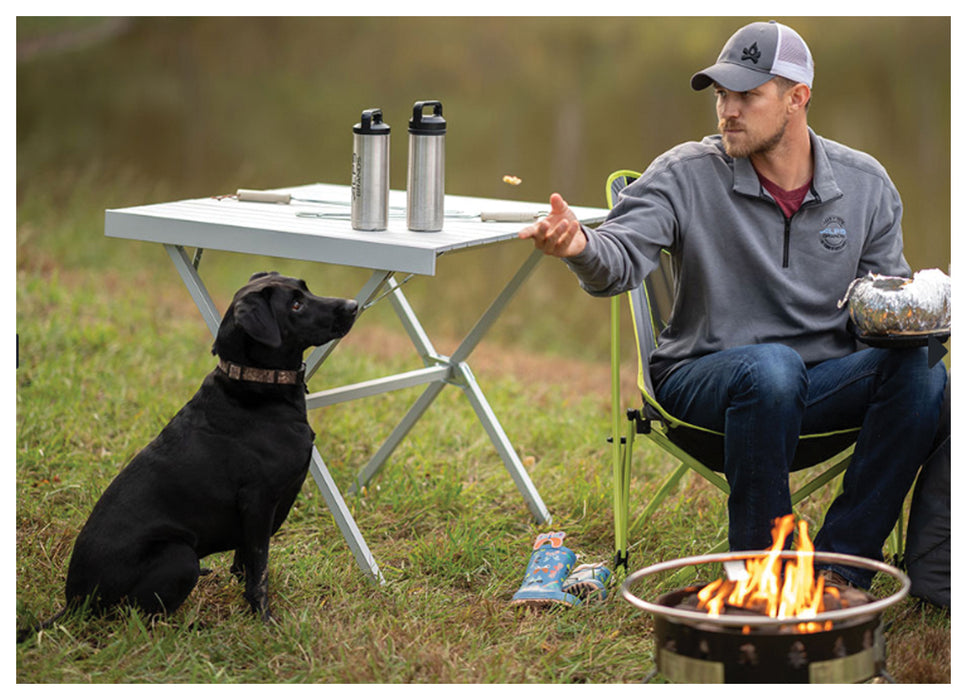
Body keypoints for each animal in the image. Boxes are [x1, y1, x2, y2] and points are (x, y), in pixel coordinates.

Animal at [18, 272, 358, 640]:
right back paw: (193, 626)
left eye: (305, 288)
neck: (254, 387)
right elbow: (259, 572)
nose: (354, 305)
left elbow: (247, 564)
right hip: (179, 556)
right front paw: (264, 621)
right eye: (295, 304)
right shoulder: (259, 502)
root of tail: (75, 602)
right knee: (140, 618)